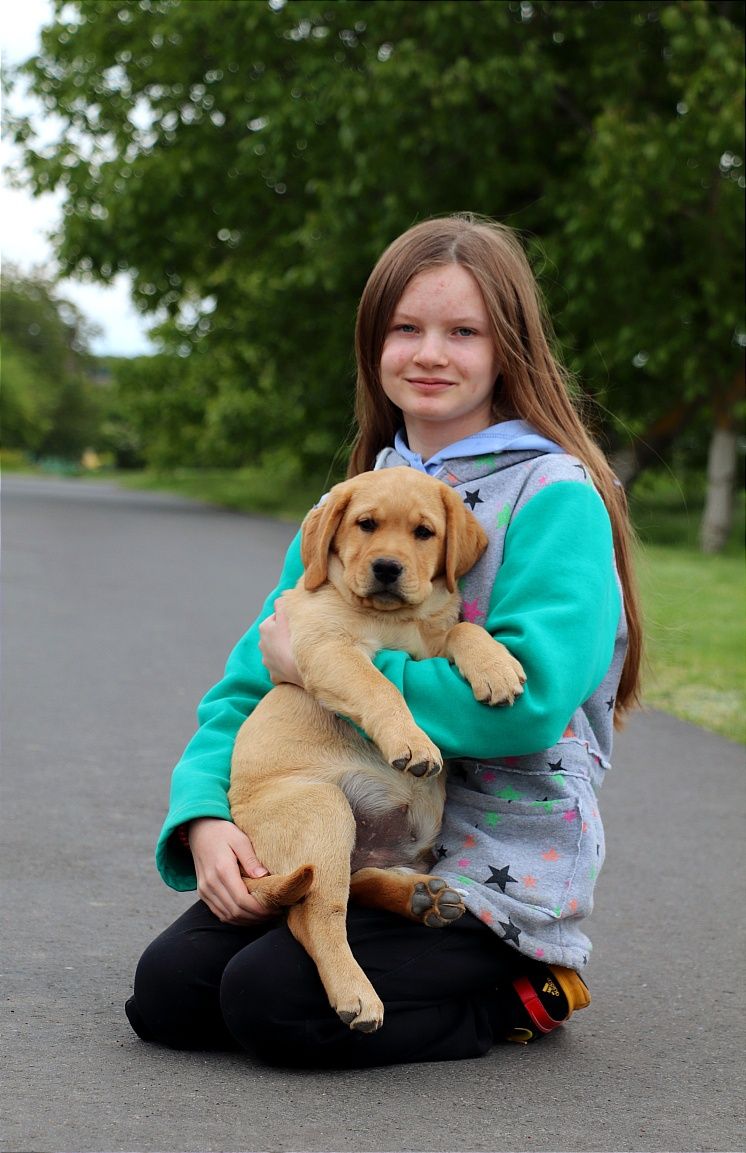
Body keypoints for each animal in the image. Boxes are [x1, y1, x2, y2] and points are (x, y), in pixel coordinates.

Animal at [227, 468, 525, 1037]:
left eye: (424, 533)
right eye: (365, 524)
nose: (387, 568)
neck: (394, 620)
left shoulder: (432, 642)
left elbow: (462, 627)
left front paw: (496, 666)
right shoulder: (328, 648)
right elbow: (380, 685)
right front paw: (412, 741)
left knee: (358, 882)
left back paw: (421, 899)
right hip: (322, 810)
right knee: (314, 914)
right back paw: (357, 994)